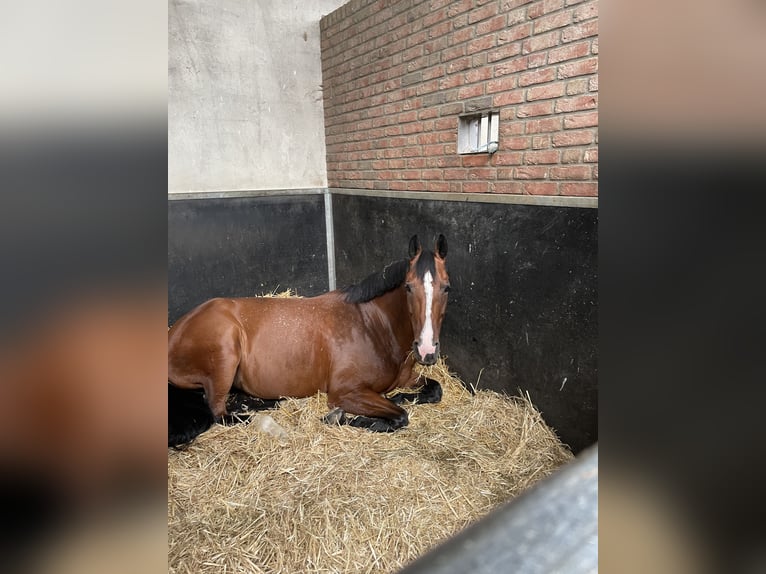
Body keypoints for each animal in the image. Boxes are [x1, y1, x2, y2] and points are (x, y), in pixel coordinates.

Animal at [170, 235, 450, 450]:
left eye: (446, 287)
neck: (372, 326)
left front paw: (403, 397)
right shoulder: (346, 393)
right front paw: (340, 418)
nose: (426, 350)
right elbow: (399, 416)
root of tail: (175, 330)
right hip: (225, 356)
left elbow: (434, 390)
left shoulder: (406, 378)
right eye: (408, 287)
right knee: (220, 413)